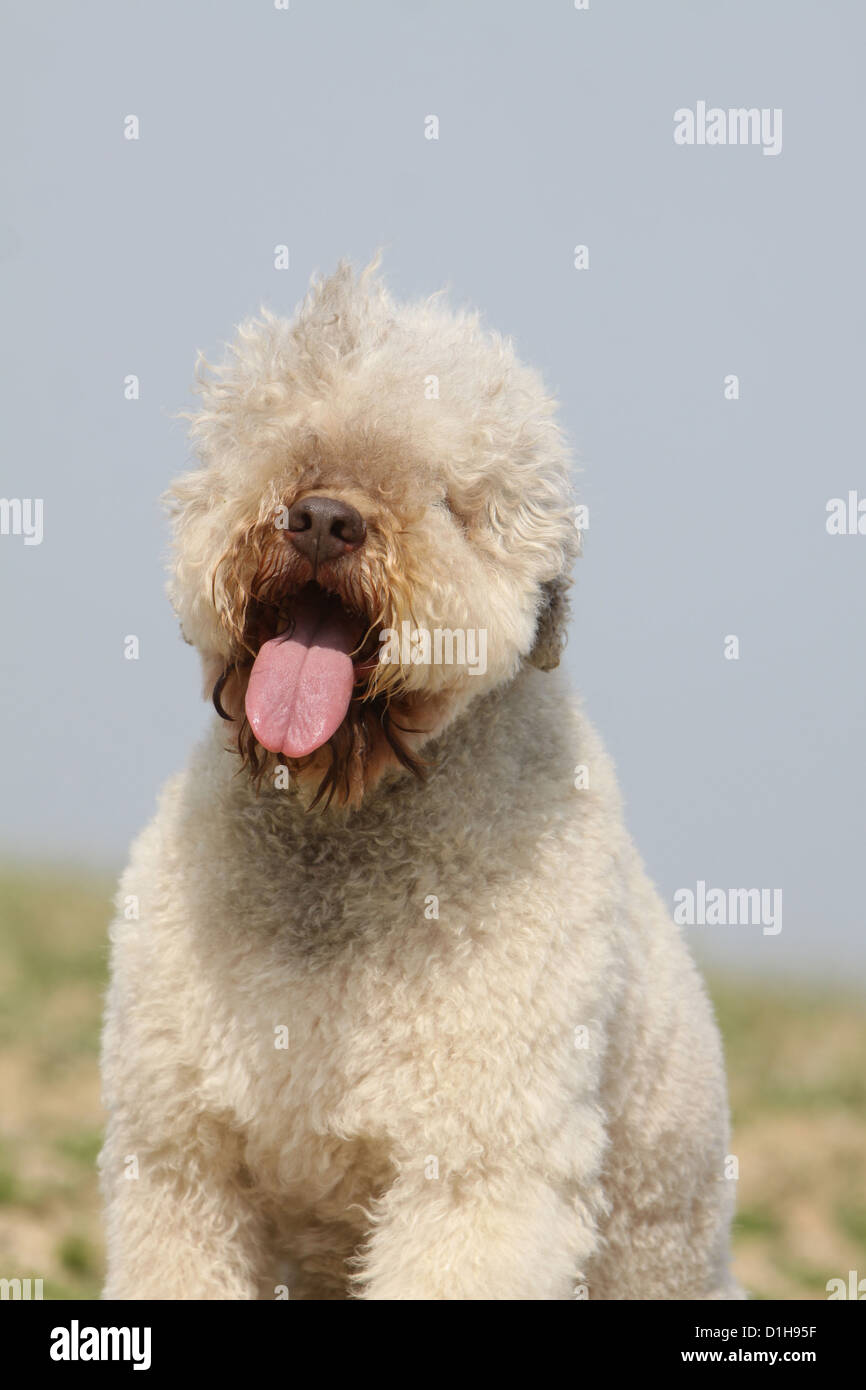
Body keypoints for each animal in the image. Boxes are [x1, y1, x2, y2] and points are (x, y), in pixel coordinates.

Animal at [97, 262, 739, 1301]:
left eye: (449, 500)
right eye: (285, 442)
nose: (323, 519)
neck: (337, 829)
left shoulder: (476, 1179)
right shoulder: (181, 1166)